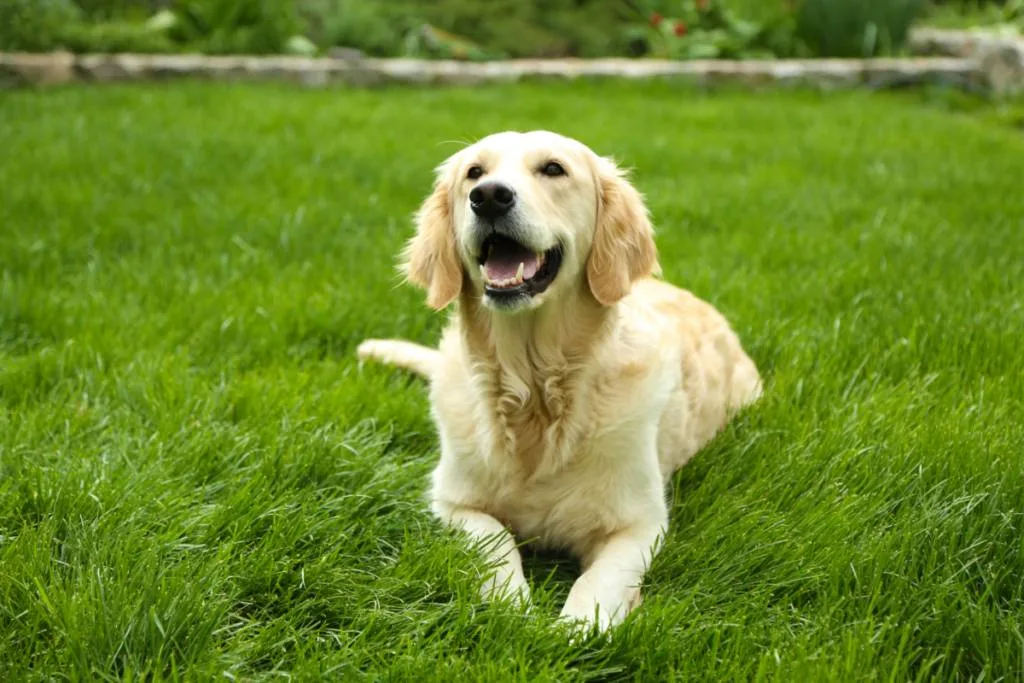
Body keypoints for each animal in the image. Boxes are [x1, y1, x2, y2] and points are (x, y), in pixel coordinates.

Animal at [358, 131, 761, 634]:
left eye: (553, 169)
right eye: (474, 172)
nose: (488, 196)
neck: (535, 391)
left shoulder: (640, 523)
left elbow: (599, 581)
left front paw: (574, 630)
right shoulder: (452, 502)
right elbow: (495, 542)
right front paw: (512, 606)